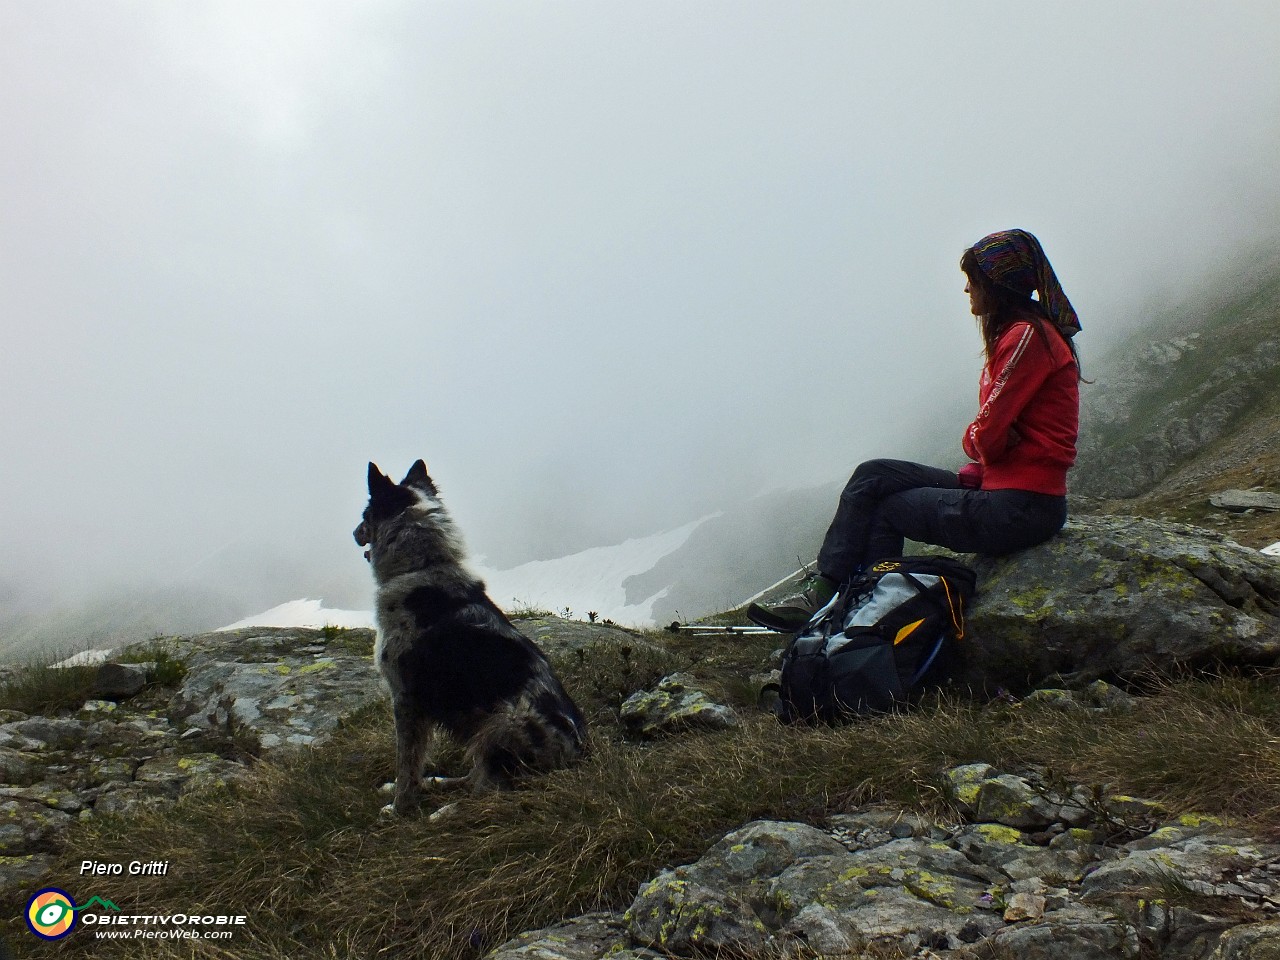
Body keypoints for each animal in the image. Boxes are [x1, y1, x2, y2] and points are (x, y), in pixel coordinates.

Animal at [353, 463, 586, 814]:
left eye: (366, 514)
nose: (354, 533)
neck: (423, 566)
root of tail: (577, 759)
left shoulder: (406, 697)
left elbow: (407, 761)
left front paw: (400, 808)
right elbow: (412, 765)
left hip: (502, 722)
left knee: (494, 791)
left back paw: (446, 812)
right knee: (477, 776)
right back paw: (441, 783)